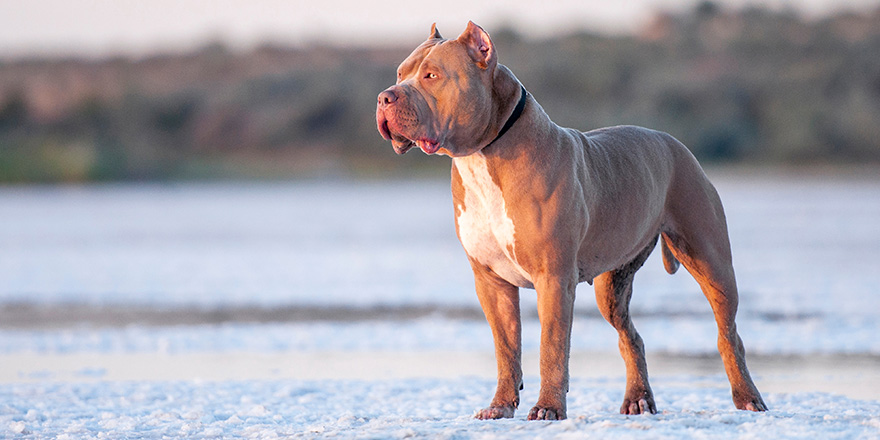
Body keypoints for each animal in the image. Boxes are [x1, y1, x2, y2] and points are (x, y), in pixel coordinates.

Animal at [374, 22, 768, 422]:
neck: (483, 155)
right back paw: (638, 399)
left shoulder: (553, 279)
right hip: (613, 287)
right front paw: (500, 406)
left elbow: (551, 346)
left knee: (729, 334)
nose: (384, 98)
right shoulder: (492, 282)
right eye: (400, 74)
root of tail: (674, 143)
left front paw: (548, 408)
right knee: (631, 336)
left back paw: (748, 398)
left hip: (711, 263)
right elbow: (506, 349)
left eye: (432, 76)